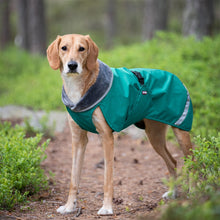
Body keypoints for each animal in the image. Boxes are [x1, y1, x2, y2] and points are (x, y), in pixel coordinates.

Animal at [46, 34, 192, 215]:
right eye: (64, 48)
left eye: (82, 48)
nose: (72, 65)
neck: (80, 88)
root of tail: (176, 77)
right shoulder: (78, 139)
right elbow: (74, 178)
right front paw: (69, 207)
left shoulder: (107, 137)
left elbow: (107, 179)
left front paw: (107, 207)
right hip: (155, 136)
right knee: (172, 162)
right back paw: (173, 192)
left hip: (181, 131)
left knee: (193, 162)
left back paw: (195, 191)